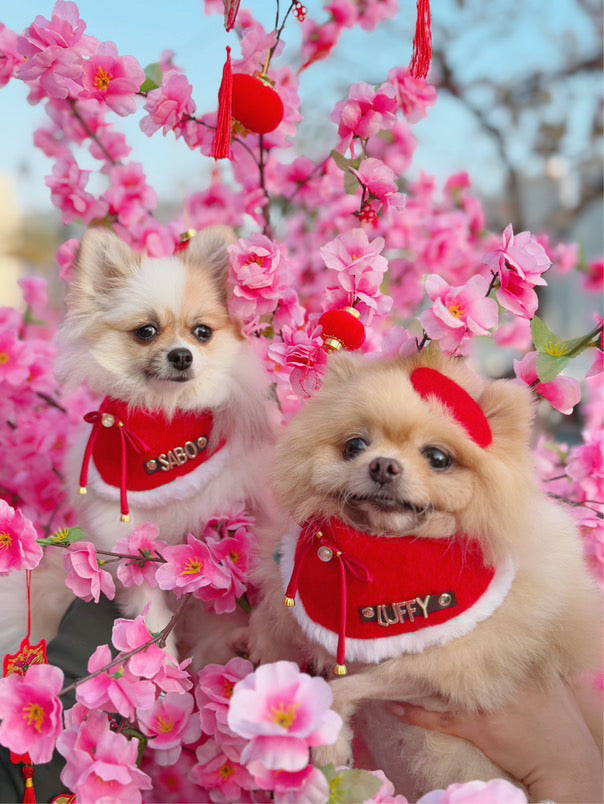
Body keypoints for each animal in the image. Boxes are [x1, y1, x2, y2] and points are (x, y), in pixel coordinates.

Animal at [0, 225, 274, 660]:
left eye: (203, 333)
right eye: (146, 332)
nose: (182, 355)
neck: (166, 419)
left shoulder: (253, 507)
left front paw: (265, 638)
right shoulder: (127, 537)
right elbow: (151, 605)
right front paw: (160, 658)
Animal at [249, 348, 600, 796]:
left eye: (438, 458)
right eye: (354, 445)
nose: (383, 465)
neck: (385, 550)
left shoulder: (450, 675)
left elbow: (345, 685)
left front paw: (331, 743)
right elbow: (273, 614)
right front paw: (262, 650)